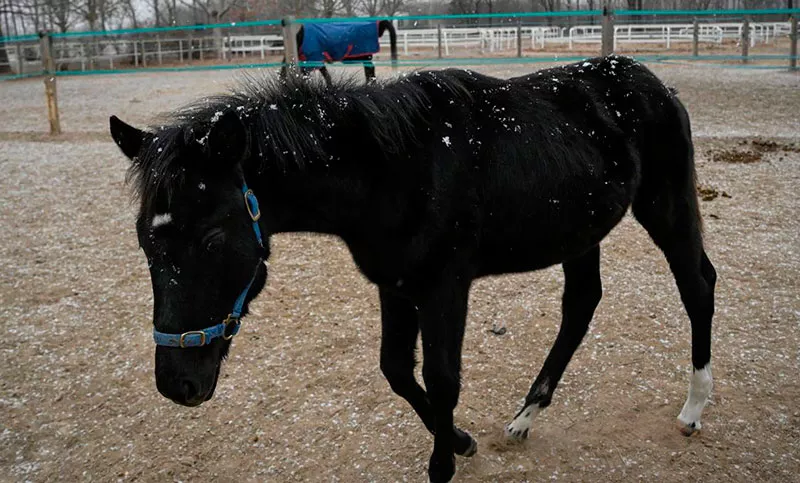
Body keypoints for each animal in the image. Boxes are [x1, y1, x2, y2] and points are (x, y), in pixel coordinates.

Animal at [109, 55, 716, 483]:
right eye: (144, 240)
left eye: (212, 237)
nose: (177, 384)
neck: (394, 170)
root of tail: (653, 82)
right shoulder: (396, 285)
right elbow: (397, 370)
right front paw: (462, 442)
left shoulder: (445, 287)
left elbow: (442, 380)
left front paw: (443, 464)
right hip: (580, 231)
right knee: (581, 306)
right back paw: (525, 417)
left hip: (665, 206)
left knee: (697, 285)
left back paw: (692, 409)